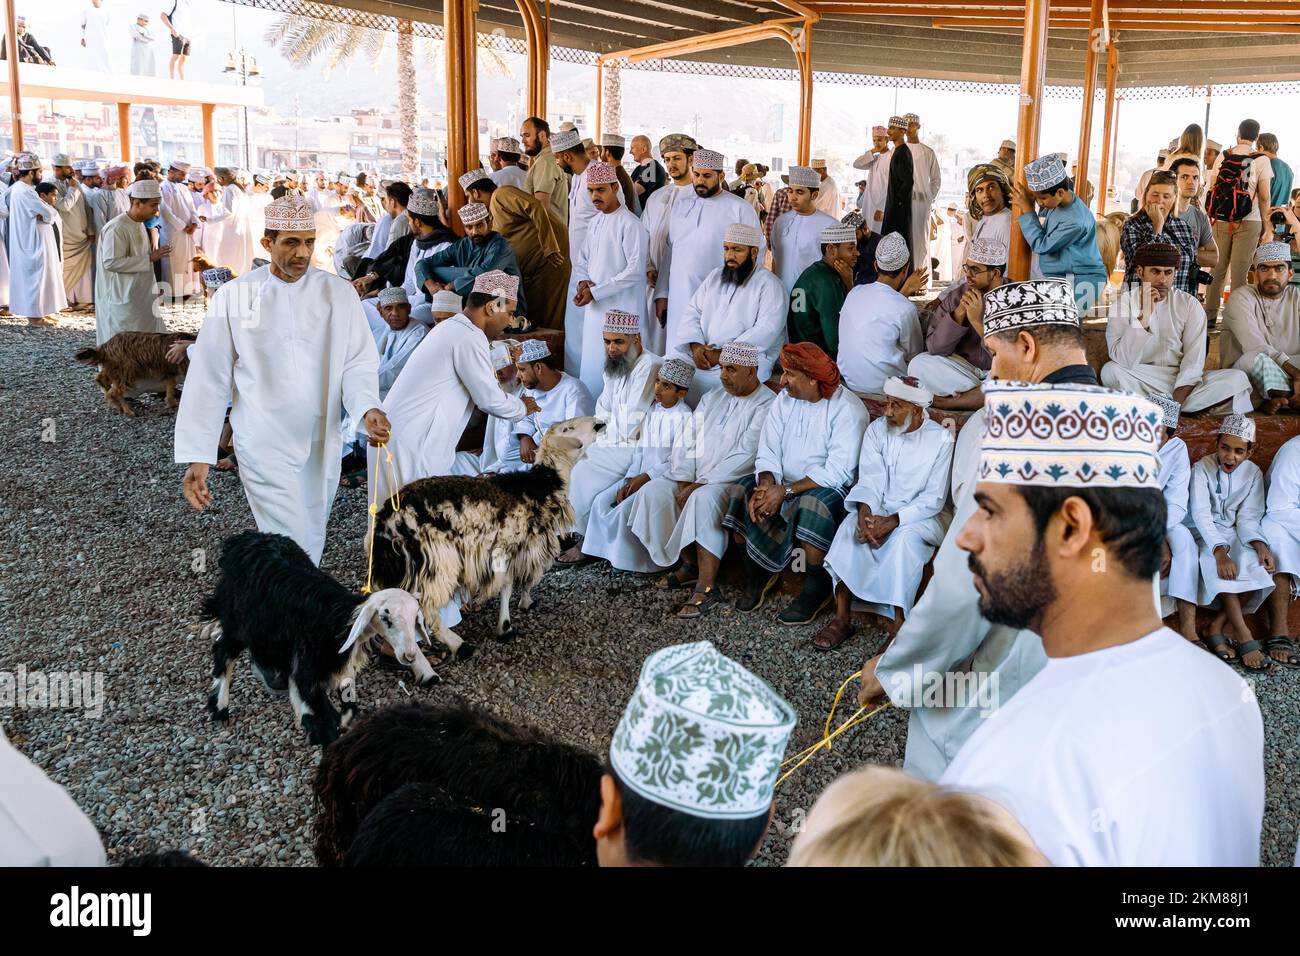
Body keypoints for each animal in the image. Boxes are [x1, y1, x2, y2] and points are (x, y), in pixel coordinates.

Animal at [200, 530, 436, 749]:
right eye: (386, 618)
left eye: (415, 618)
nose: (409, 655)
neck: (338, 620)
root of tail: (244, 539)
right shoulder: (309, 668)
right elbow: (323, 713)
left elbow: (345, 706)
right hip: (238, 621)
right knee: (223, 651)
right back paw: (219, 707)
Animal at [371, 416, 603, 655]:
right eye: (568, 428)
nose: (598, 422)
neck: (544, 483)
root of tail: (387, 523)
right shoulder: (512, 547)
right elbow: (509, 586)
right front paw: (506, 626)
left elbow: (521, 580)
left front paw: (524, 602)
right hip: (437, 564)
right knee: (427, 610)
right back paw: (459, 645)